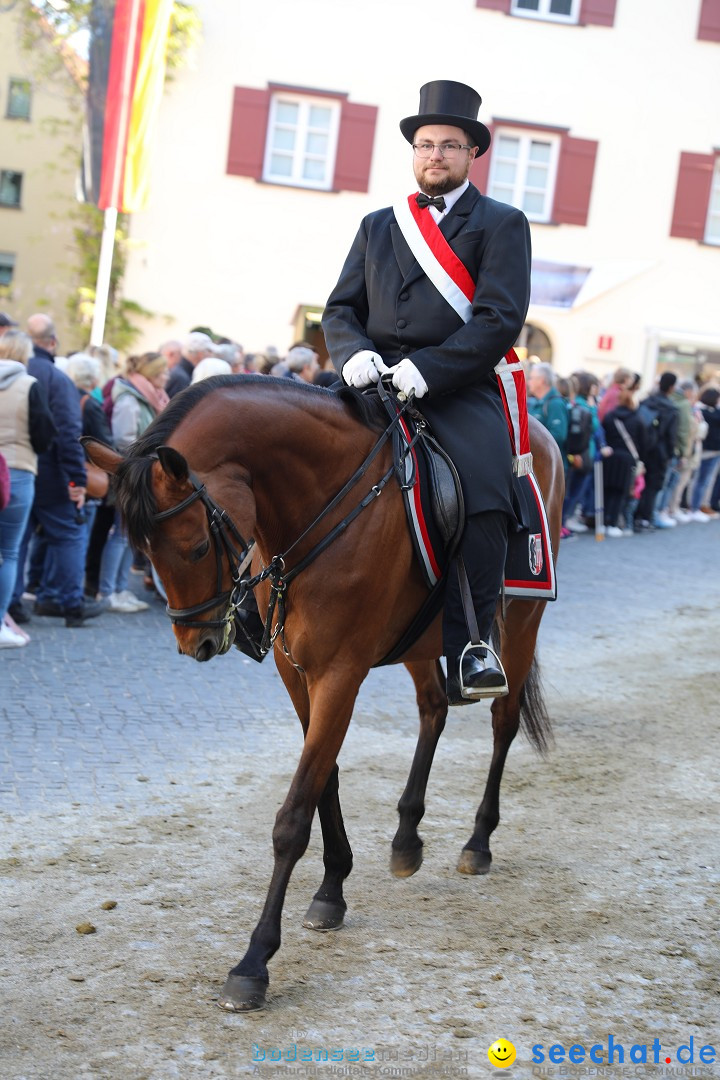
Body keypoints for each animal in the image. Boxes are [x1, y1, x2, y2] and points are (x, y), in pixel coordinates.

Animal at [85, 371, 561, 1010]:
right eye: (143, 553)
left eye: (194, 547)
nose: (197, 643)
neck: (319, 508)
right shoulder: (298, 672)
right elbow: (324, 778)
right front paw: (332, 889)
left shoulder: (341, 672)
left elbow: (293, 815)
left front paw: (254, 962)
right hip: (421, 641)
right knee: (433, 708)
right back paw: (407, 837)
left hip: (522, 622)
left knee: (503, 723)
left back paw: (478, 841)